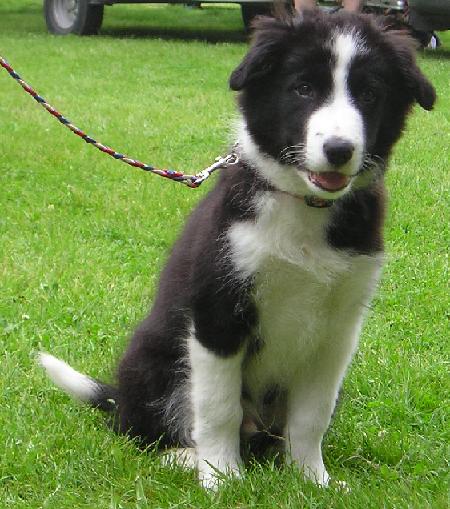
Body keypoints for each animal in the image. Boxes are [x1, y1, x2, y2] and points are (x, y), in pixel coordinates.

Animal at [40, 10, 434, 488]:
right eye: (303, 88)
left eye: (369, 94)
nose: (339, 150)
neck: (303, 207)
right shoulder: (218, 312)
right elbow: (218, 407)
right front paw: (221, 479)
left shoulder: (338, 330)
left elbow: (312, 416)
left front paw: (312, 480)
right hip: (155, 356)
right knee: (143, 427)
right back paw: (183, 458)